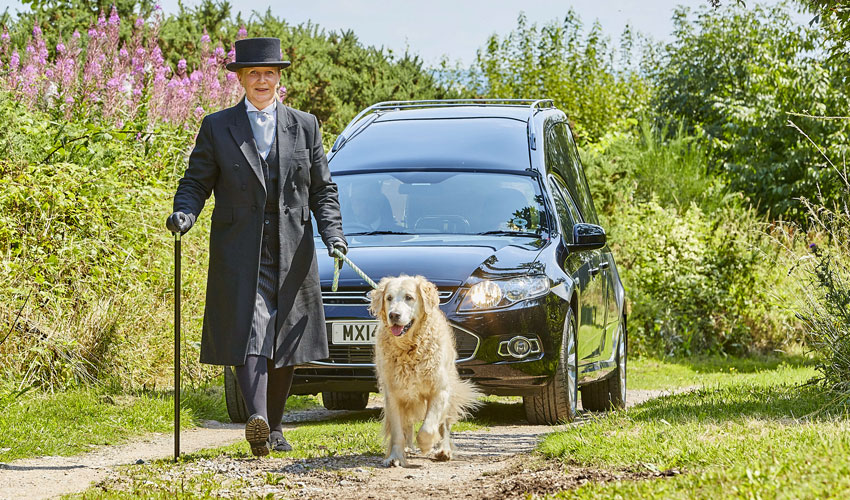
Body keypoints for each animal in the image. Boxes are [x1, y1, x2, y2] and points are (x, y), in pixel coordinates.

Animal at [368, 276, 480, 466]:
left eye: (409, 297)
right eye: (388, 298)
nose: (393, 315)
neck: (410, 348)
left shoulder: (439, 390)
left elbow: (428, 428)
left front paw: (427, 445)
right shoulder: (393, 395)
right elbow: (398, 432)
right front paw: (395, 456)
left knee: (444, 425)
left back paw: (443, 450)